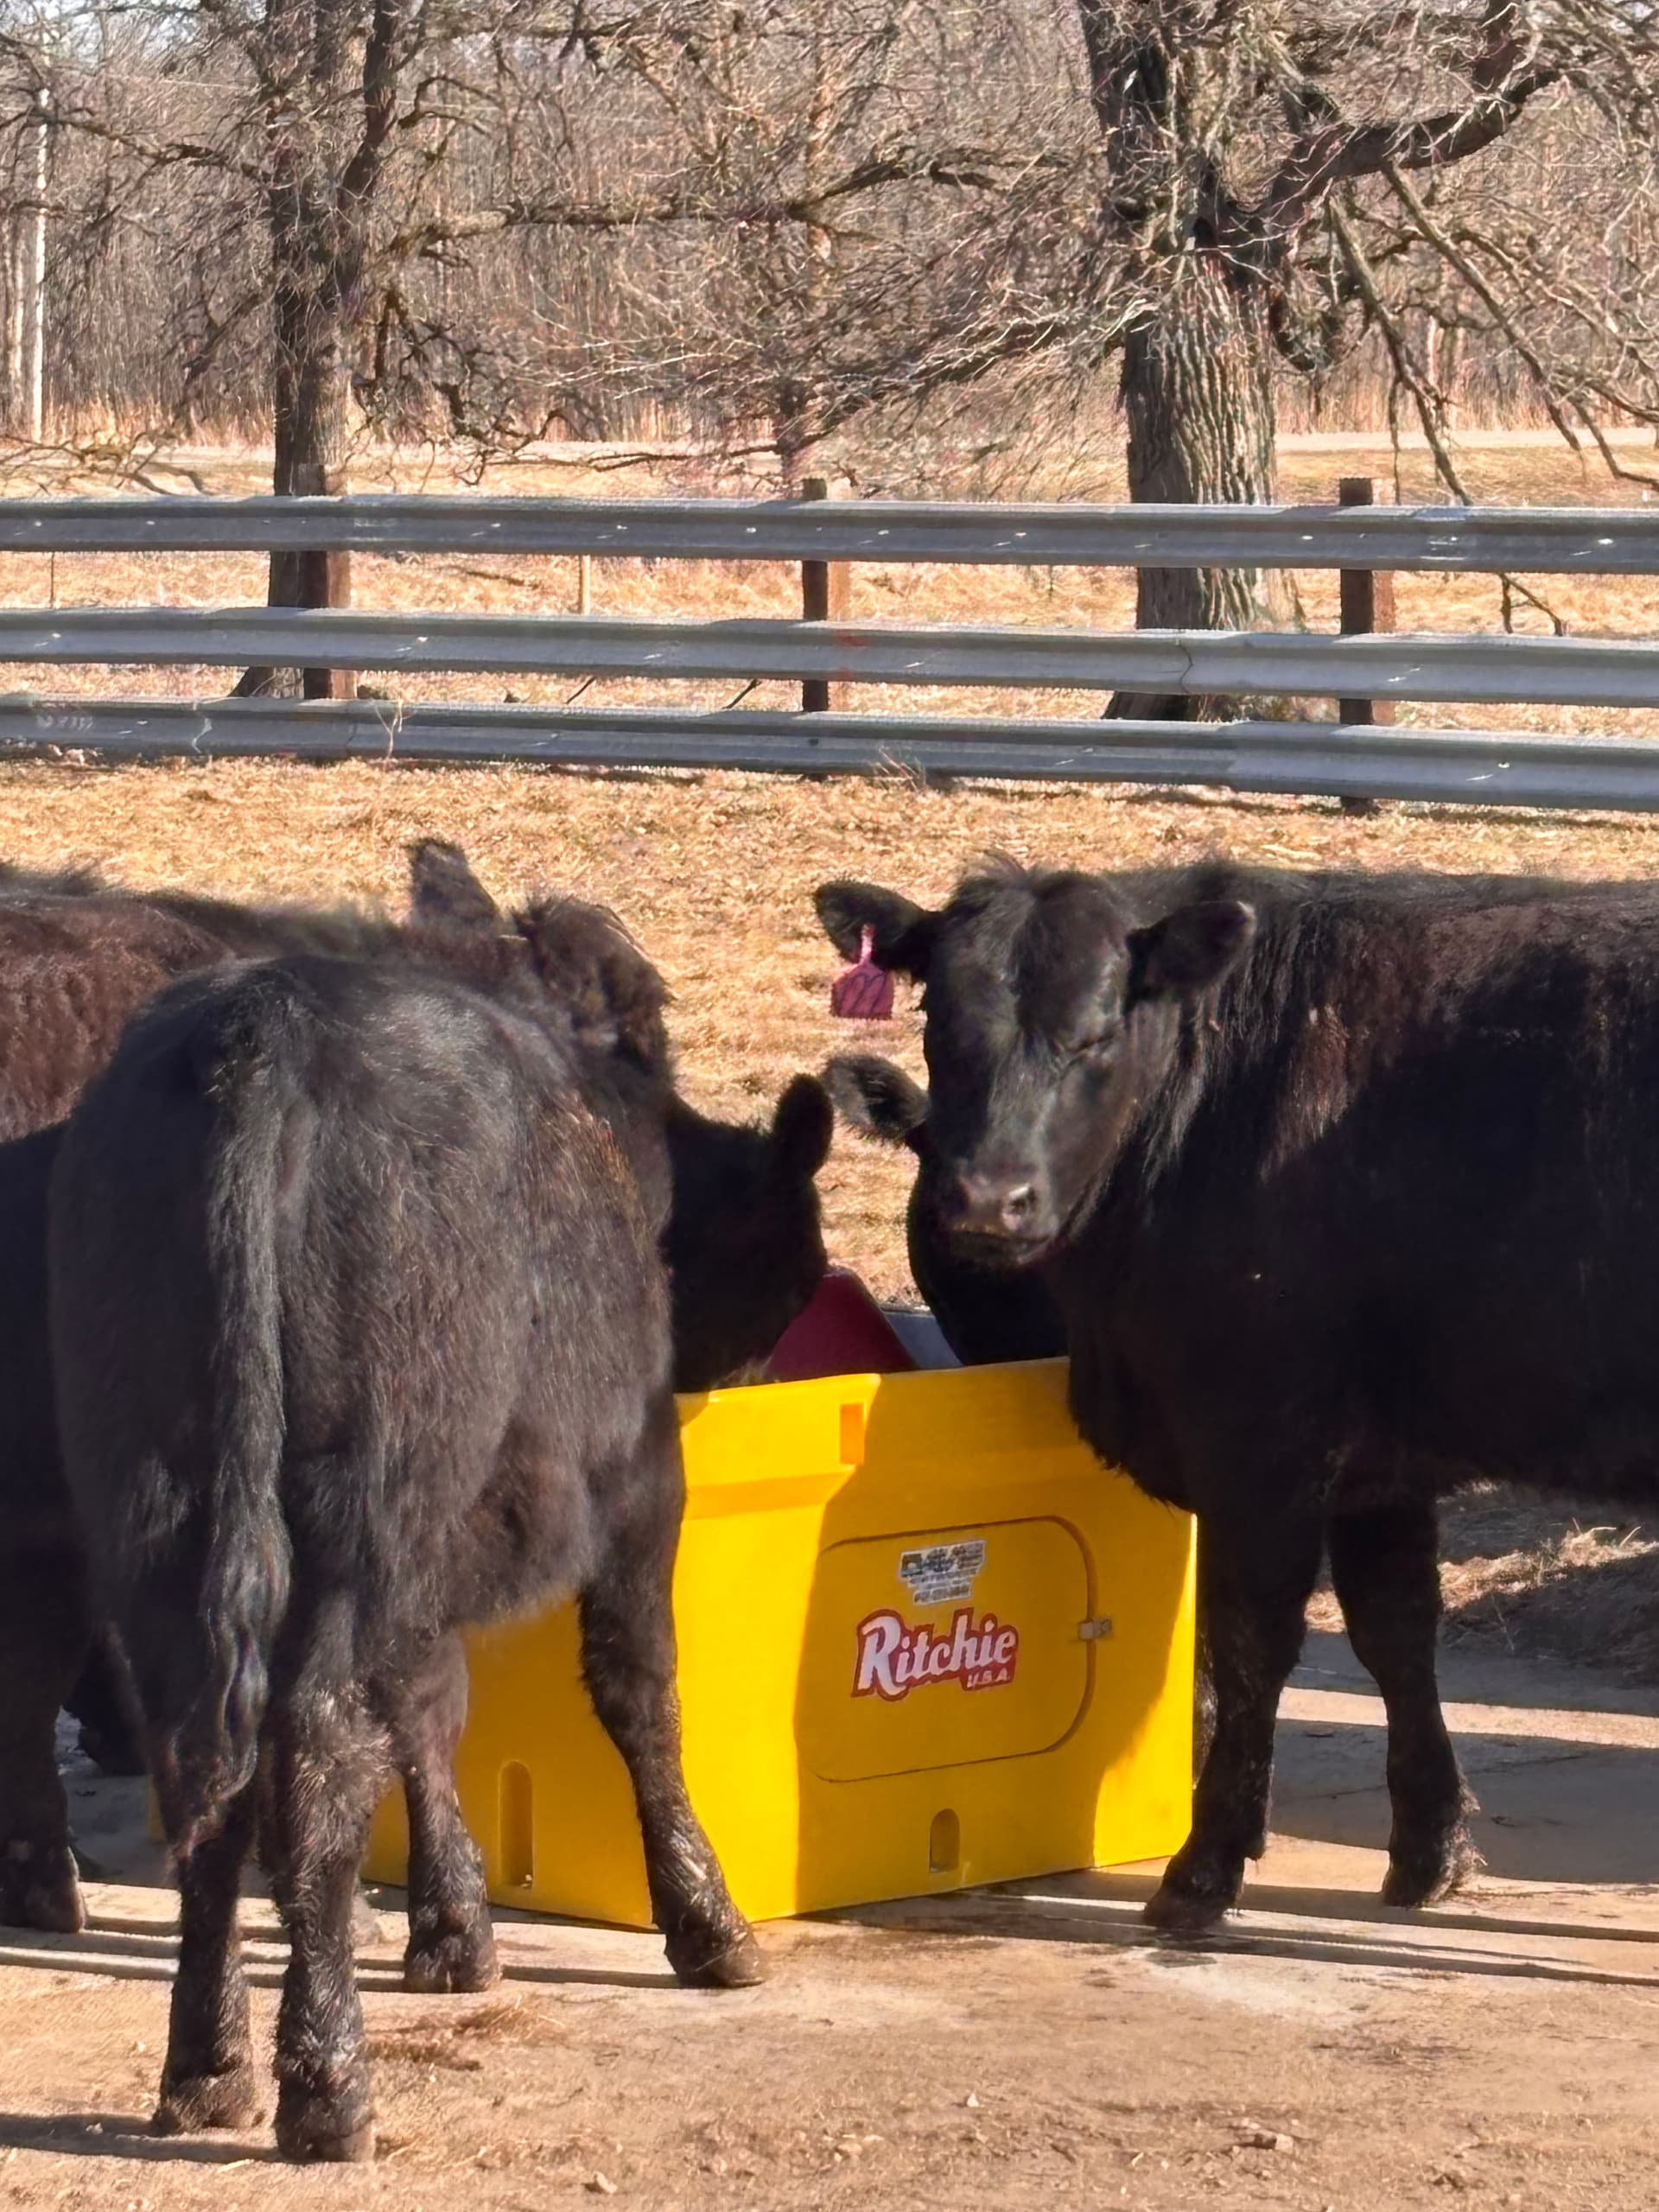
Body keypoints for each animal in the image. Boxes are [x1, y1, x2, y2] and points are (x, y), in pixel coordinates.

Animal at [48, 890, 823, 2160]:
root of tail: (263, 1037)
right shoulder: (636, 1476)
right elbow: (637, 1692)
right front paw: (706, 1919)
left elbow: (427, 1709)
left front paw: (453, 1924)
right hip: (366, 1507)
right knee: (315, 1746)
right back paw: (326, 2082)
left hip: (156, 1508)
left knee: (208, 1771)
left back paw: (209, 2064)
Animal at [811, 858, 1659, 1933]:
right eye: (939, 1023)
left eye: (1095, 1032)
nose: (988, 1201)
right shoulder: (1379, 1461)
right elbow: (1395, 1631)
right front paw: (1429, 1851)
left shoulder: (1258, 1440)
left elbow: (1252, 1640)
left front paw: (1203, 1867)